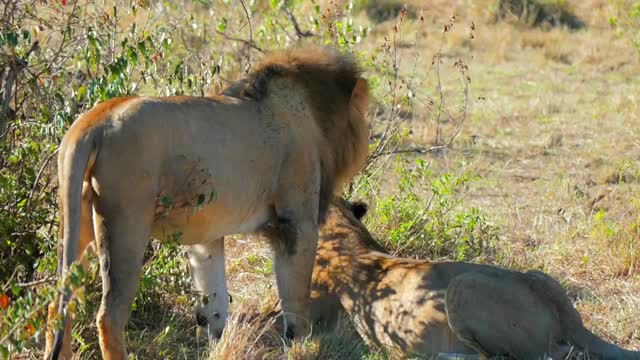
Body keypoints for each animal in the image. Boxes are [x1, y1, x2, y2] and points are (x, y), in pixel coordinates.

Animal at [45, 47, 370, 360]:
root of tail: (96, 120)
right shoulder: (296, 223)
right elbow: (295, 297)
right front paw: (301, 345)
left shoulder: (207, 237)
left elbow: (215, 299)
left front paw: (218, 342)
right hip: (125, 225)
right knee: (108, 316)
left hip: (79, 223)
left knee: (57, 302)